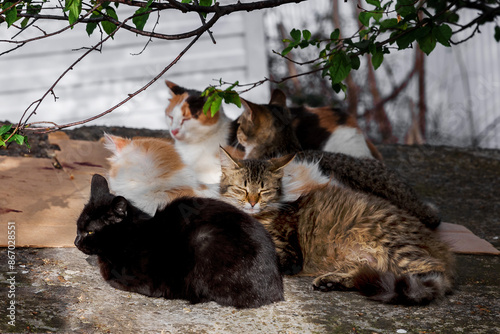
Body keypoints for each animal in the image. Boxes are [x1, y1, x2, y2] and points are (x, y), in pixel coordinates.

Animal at [219, 149, 454, 306]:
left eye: (264, 191)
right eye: (242, 189)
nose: (252, 203)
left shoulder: (289, 255)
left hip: (396, 248)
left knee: (433, 277)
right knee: (370, 273)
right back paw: (331, 282)